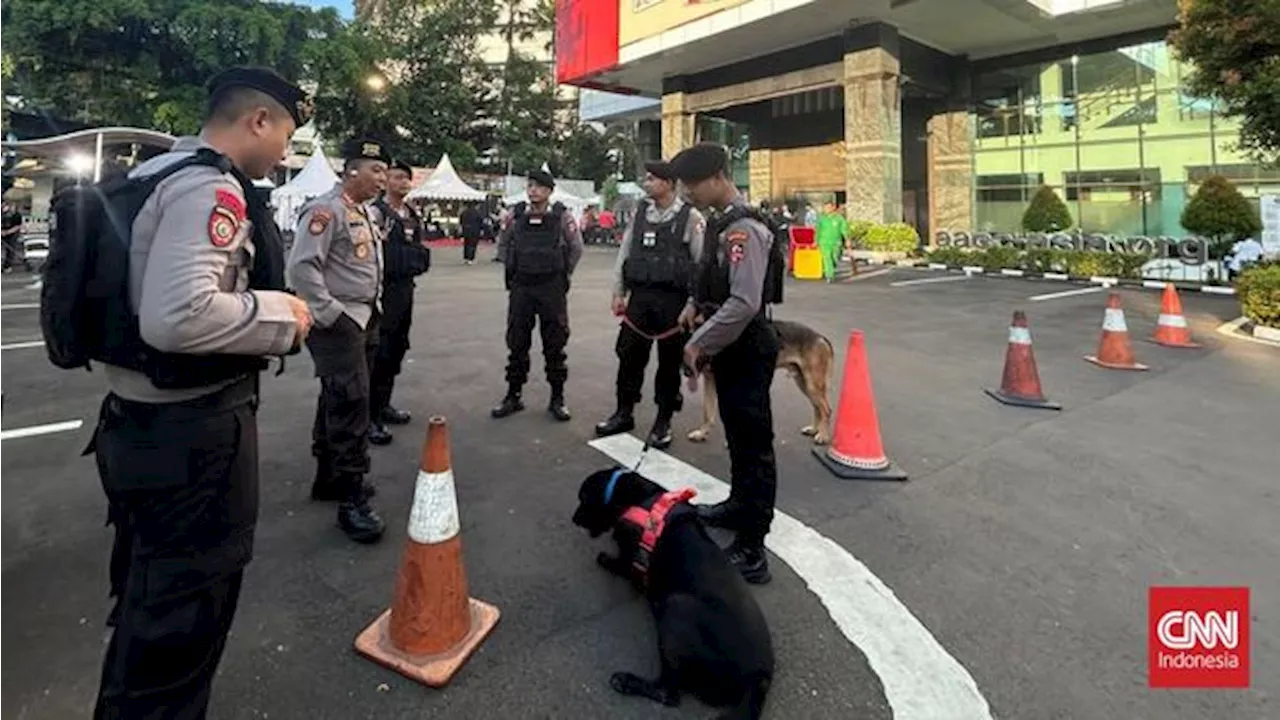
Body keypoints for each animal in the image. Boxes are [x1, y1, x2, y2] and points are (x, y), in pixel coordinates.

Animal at [576, 468, 773, 712]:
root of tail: (759, 679)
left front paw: (607, 560)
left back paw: (628, 681)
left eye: (583, 499)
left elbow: (621, 564)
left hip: (676, 608)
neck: (635, 496)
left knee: (669, 693)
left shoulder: (631, 557)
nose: (574, 518)